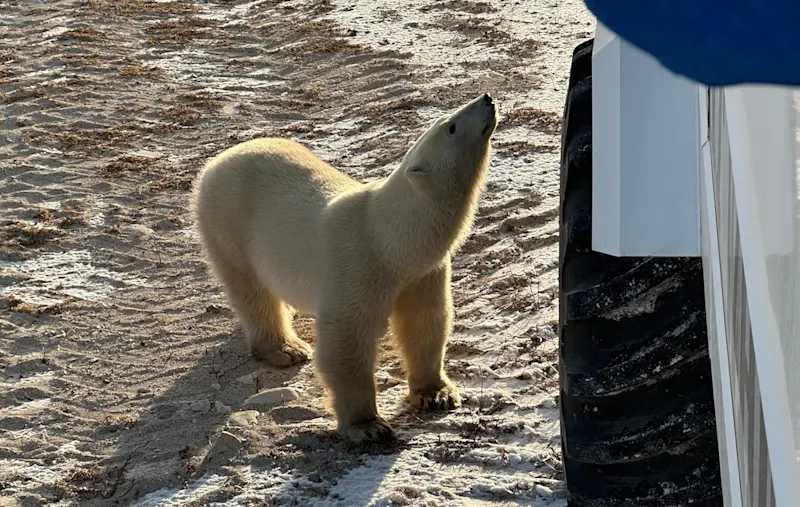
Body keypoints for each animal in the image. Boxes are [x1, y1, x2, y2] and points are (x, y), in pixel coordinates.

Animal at [191, 92, 498, 443]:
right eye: (451, 126)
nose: (487, 98)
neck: (390, 238)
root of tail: (216, 161)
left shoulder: (421, 273)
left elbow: (425, 322)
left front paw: (436, 394)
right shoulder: (358, 264)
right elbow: (346, 340)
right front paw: (368, 426)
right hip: (229, 224)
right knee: (252, 291)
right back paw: (287, 348)